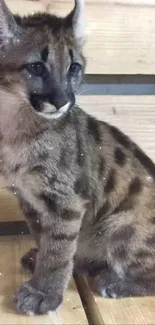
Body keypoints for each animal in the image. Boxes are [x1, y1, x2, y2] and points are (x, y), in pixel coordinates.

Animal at [0, 0, 155, 316]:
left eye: (73, 68)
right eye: (36, 67)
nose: (62, 101)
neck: (15, 121)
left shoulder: (66, 201)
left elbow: (58, 249)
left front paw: (44, 292)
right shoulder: (28, 199)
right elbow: (46, 238)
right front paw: (42, 265)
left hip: (121, 226)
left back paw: (114, 282)